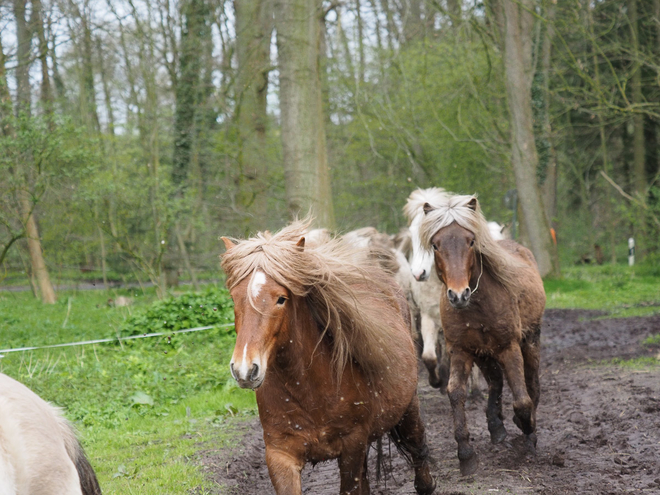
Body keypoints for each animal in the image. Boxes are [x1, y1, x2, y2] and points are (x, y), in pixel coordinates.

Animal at [222, 222, 436, 495]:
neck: (308, 390)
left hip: (408, 406)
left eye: (281, 298)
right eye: (234, 298)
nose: (244, 370)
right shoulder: (280, 454)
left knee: (417, 445)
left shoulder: (352, 446)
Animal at [422, 195, 548, 476]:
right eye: (436, 245)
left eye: (470, 241)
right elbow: (456, 392)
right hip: (483, 353)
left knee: (531, 385)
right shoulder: (461, 350)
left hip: (530, 341)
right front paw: (466, 455)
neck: (477, 306)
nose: (458, 295)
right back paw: (496, 427)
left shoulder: (509, 347)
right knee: (496, 382)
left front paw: (527, 430)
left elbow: (522, 400)